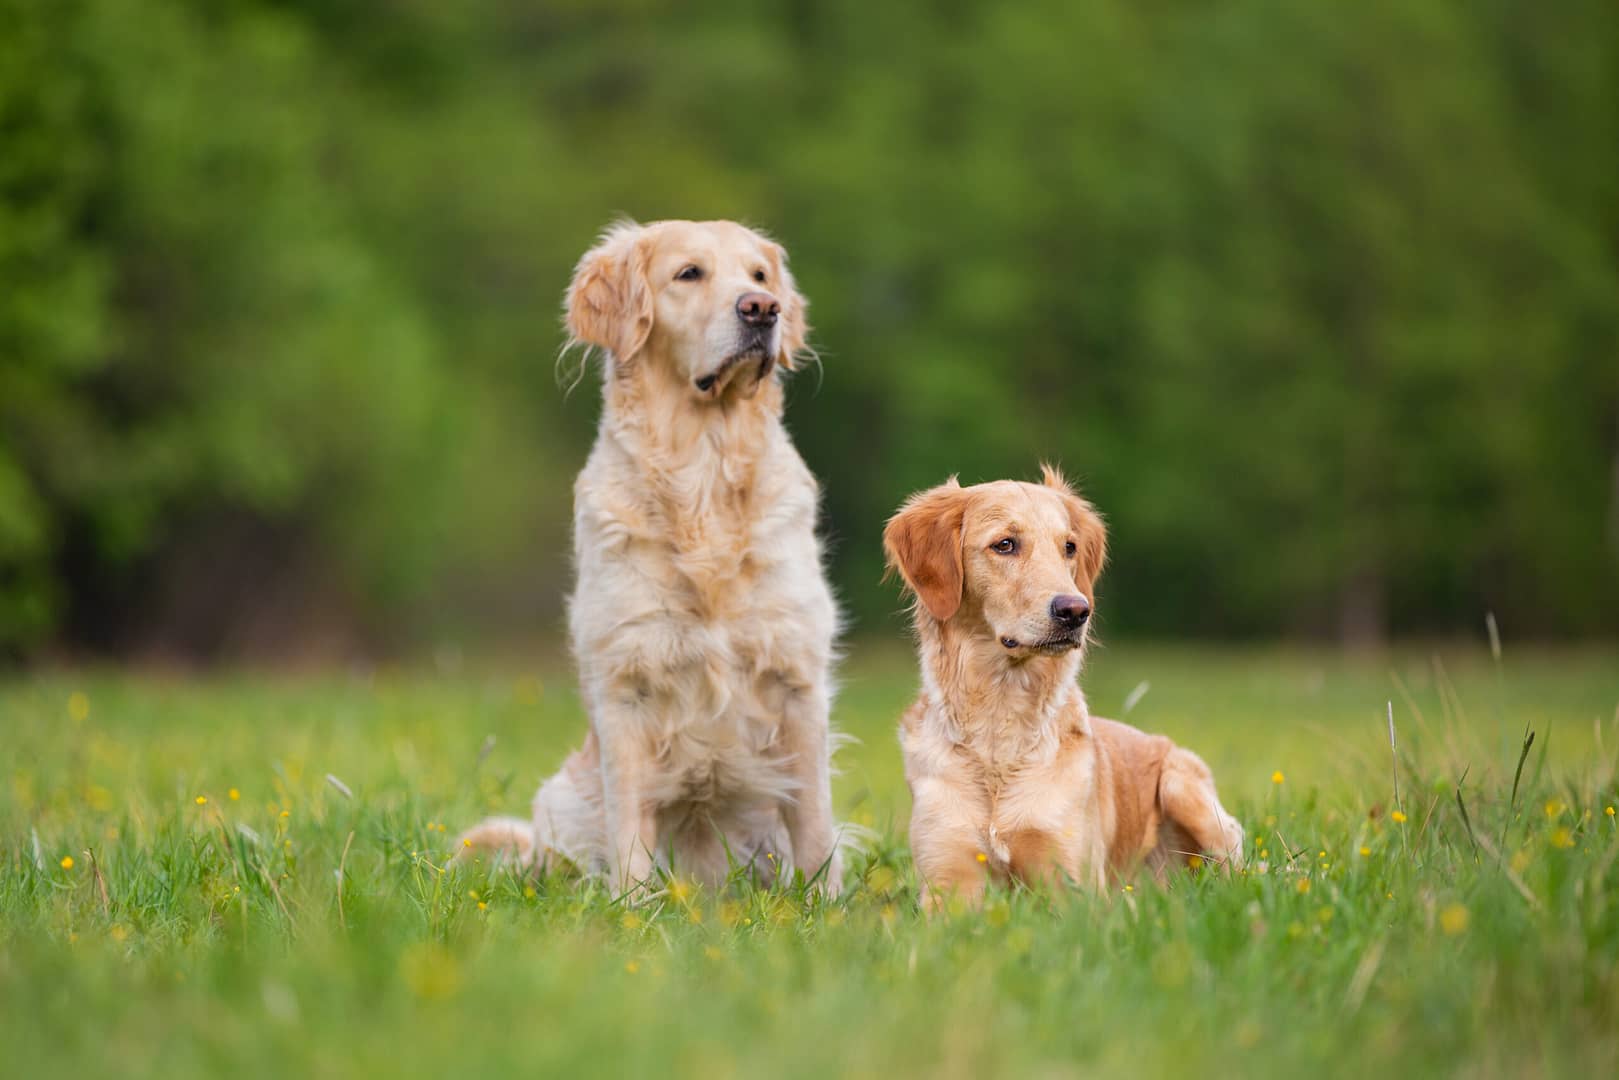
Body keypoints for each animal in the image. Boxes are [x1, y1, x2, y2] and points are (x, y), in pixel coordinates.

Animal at [456, 220, 841, 893]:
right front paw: (633, 906)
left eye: (760, 276)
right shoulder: (626, 678)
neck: (705, 472)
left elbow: (814, 818)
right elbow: (632, 819)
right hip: (560, 801)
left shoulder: (797, 672)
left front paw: (828, 901)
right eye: (689, 274)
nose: (763, 310)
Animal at [887, 469, 1236, 906]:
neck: (999, 720)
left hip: (1184, 787)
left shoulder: (1072, 885)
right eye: (1005, 544)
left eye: (1069, 547)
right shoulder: (946, 883)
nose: (1075, 611)